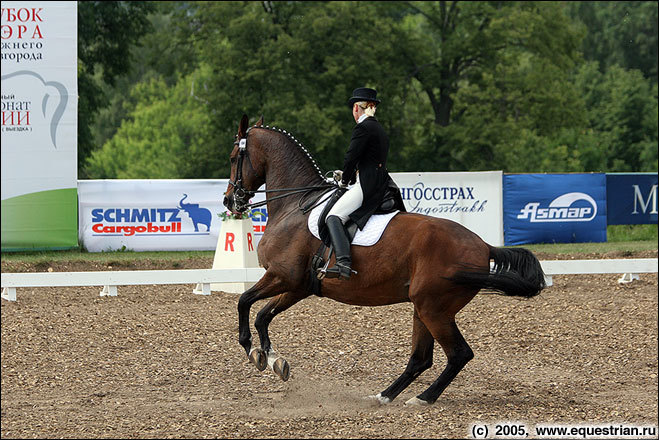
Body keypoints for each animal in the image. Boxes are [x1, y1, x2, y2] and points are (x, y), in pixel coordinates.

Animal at [223, 113, 548, 406]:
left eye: (233, 157)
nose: (229, 201)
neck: (295, 205)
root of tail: (484, 246)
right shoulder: (299, 285)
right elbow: (263, 315)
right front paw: (273, 360)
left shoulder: (283, 276)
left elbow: (244, 302)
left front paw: (252, 350)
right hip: (423, 308)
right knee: (421, 359)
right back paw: (385, 395)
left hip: (434, 309)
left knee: (458, 354)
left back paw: (423, 398)